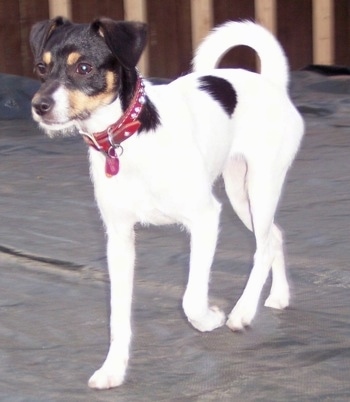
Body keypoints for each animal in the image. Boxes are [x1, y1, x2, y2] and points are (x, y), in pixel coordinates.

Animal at [29, 16, 304, 390]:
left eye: (83, 68)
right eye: (41, 68)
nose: (39, 106)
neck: (127, 141)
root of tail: (273, 84)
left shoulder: (205, 218)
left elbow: (190, 300)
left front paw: (210, 319)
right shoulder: (119, 239)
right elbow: (117, 316)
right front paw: (113, 369)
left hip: (260, 187)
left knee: (262, 247)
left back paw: (242, 312)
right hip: (239, 191)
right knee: (274, 236)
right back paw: (278, 296)